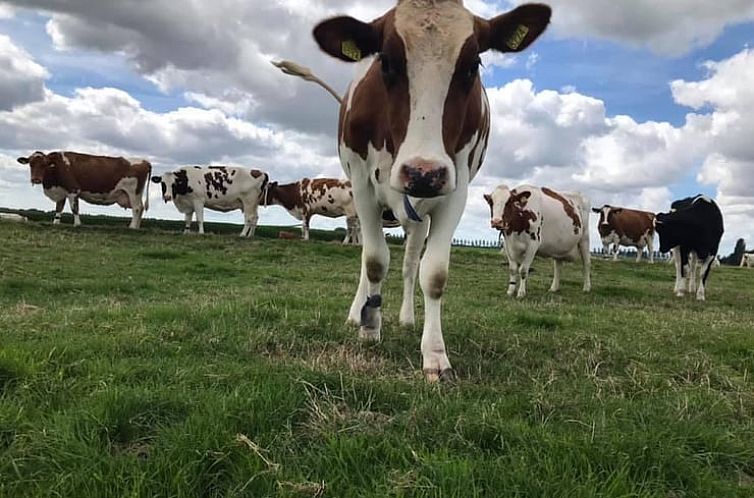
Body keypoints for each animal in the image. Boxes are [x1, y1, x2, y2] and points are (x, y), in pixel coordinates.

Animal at [16, 151, 151, 229]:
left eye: (44, 164)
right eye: (31, 164)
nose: (36, 179)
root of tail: (145, 161)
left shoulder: (73, 189)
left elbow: (74, 208)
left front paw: (77, 224)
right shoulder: (62, 191)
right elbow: (59, 208)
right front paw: (56, 223)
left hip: (133, 192)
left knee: (137, 208)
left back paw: (132, 227)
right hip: (137, 193)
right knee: (140, 208)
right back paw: (137, 227)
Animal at [280, 1, 548, 382]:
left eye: (473, 65)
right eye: (385, 62)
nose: (423, 172)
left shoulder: (454, 189)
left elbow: (432, 273)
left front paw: (434, 354)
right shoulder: (362, 187)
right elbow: (374, 262)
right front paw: (369, 327)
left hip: (419, 215)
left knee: (409, 264)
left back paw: (407, 318)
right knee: (368, 260)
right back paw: (358, 312)